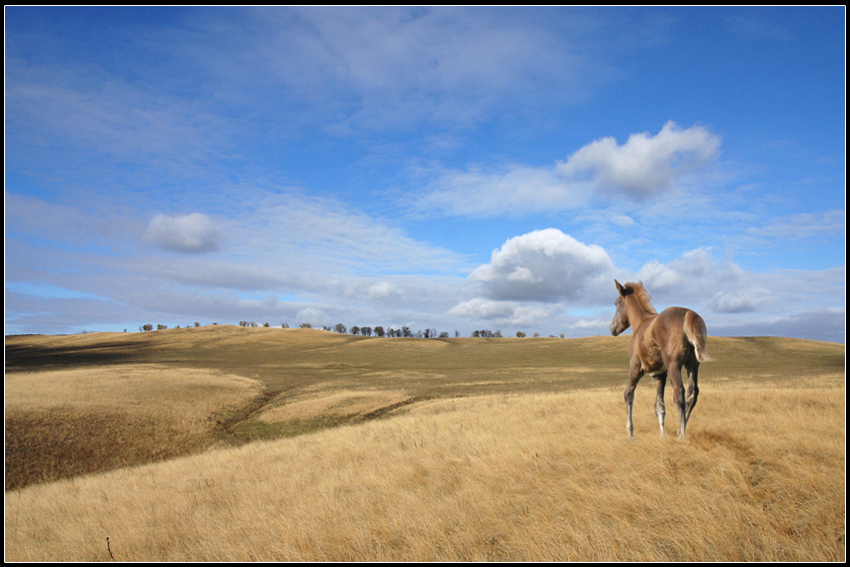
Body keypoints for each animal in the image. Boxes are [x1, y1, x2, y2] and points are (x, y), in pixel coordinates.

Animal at [608, 280, 708, 440]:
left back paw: (681, 435)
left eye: (616, 303)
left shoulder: (636, 368)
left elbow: (628, 394)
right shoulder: (660, 374)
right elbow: (659, 405)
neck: (641, 324)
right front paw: (662, 435)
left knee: (679, 392)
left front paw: (630, 433)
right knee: (692, 393)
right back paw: (681, 430)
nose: (612, 328)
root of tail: (688, 314)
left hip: (674, 365)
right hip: (692, 365)